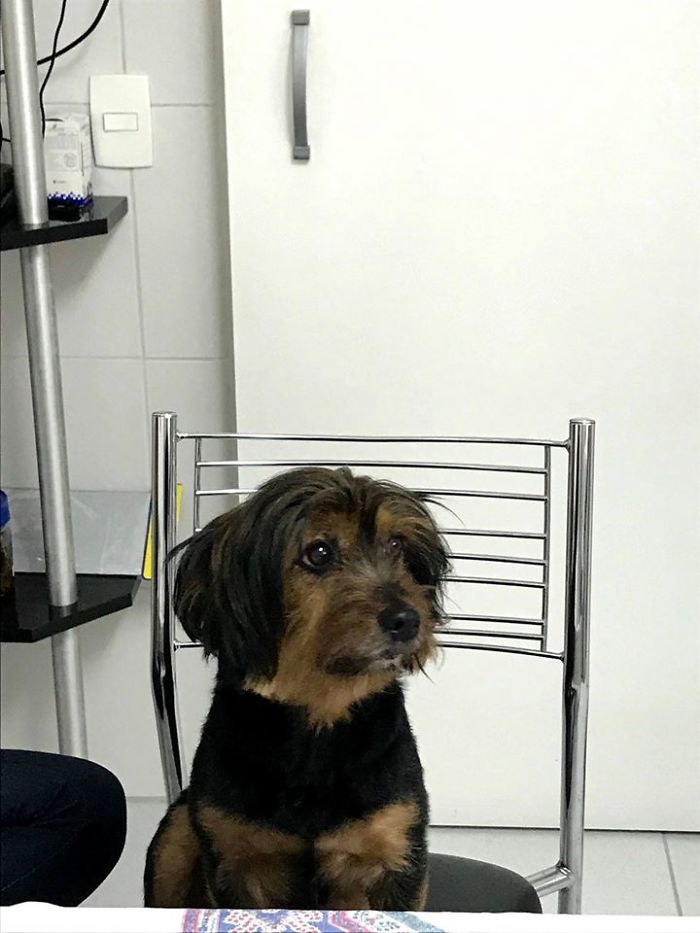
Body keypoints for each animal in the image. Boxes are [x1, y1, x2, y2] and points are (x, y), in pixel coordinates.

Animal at [144, 466, 449, 909]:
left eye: (396, 544)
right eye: (318, 553)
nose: (408, 620)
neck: (318, 726)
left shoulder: (396, 852)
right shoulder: (234, 860)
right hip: (176, 832)